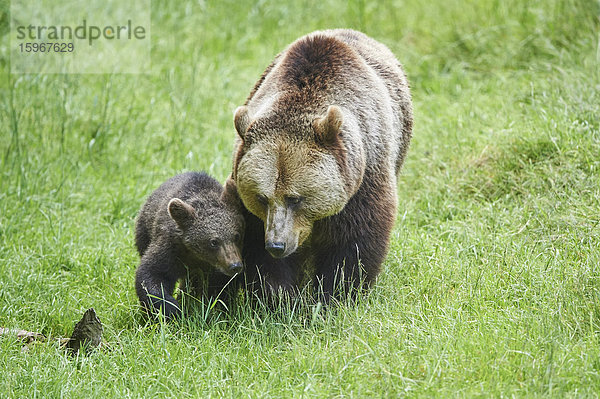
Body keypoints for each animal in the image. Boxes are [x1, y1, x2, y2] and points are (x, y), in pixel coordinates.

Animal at [137, 172, 246, 318]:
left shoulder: (214, 270)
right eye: (213, 242)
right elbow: (152, 274)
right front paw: (171, 309)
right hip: (144, 232)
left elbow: (221, 290)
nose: (235, 265)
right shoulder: (171, 248)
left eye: (237, 236)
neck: (196, 255)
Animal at [229, 29, 412, 302]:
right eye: (261, 198)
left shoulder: (363, 175)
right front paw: (278, 295)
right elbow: (256, 245)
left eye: (295, 198)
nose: (276, 245)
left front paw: (336, 294)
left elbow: (354, 241)